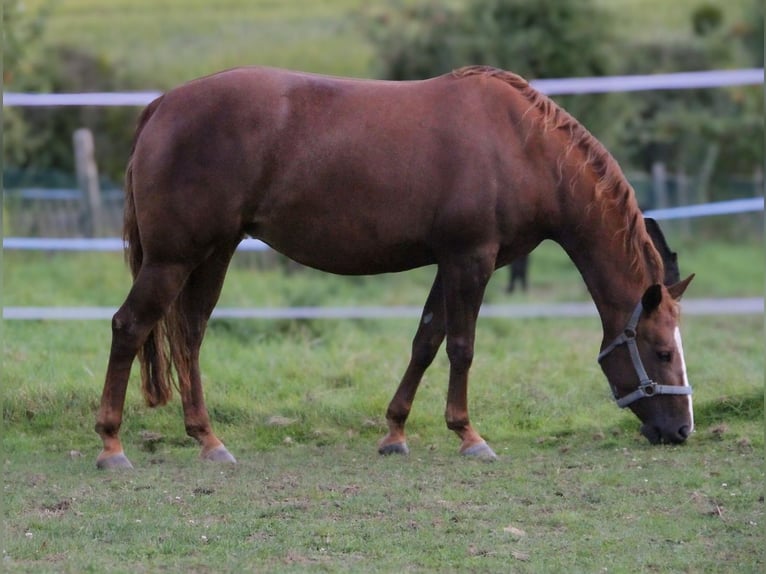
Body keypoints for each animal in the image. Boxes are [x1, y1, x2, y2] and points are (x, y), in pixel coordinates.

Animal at [95, 65, 695, 469]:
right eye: (662, 352)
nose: (682, 430)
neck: (521, 147)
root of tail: (162, 105)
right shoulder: (471, 260)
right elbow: (462, 347)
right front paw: (469, 436)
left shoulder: (451, 263)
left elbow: (426, 342)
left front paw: (395, 432)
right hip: (173, 259)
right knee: (129, 326)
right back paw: (111, 444)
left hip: (213, 254)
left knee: (189, 336)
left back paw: (209, 440)